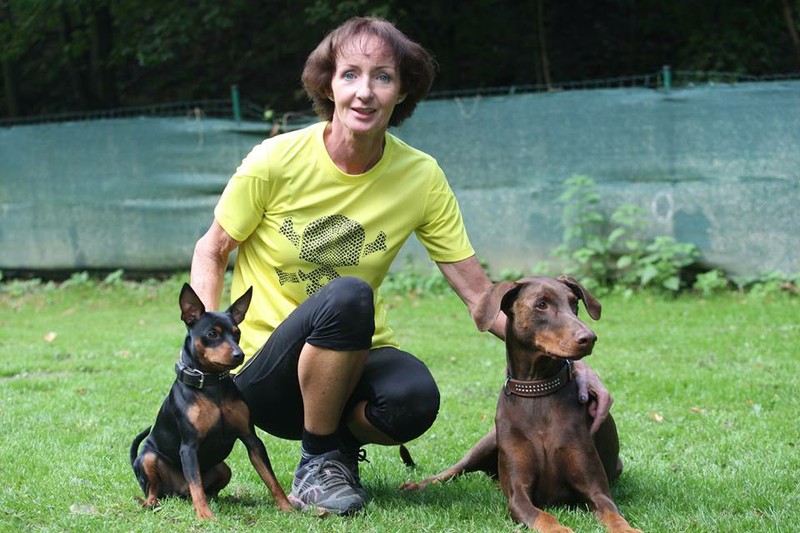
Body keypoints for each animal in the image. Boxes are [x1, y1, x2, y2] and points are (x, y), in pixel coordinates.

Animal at [130, 283, 292, 519]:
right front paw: (205, 516)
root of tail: (179, 492)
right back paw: (151, 502)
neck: (212, 386)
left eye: (237, 333)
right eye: (212, 334)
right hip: (148, 458)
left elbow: (271, 479)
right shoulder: (189, 447)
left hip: (224, 468)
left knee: (209, 490)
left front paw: (287, 507)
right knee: (158, 488)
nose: (239, 355)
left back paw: (227, 499)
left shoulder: (252, 439)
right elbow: (196, 485)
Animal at [402, 276, 640, 533]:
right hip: (488, 441)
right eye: (541, 304)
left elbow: (614, 515)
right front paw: (559, 529)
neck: (537, 390)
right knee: (453, 470)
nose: (589, 338)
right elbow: (543, 517)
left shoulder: (596, 490)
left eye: (574, 303)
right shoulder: (519, 495)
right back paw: (417, 486)